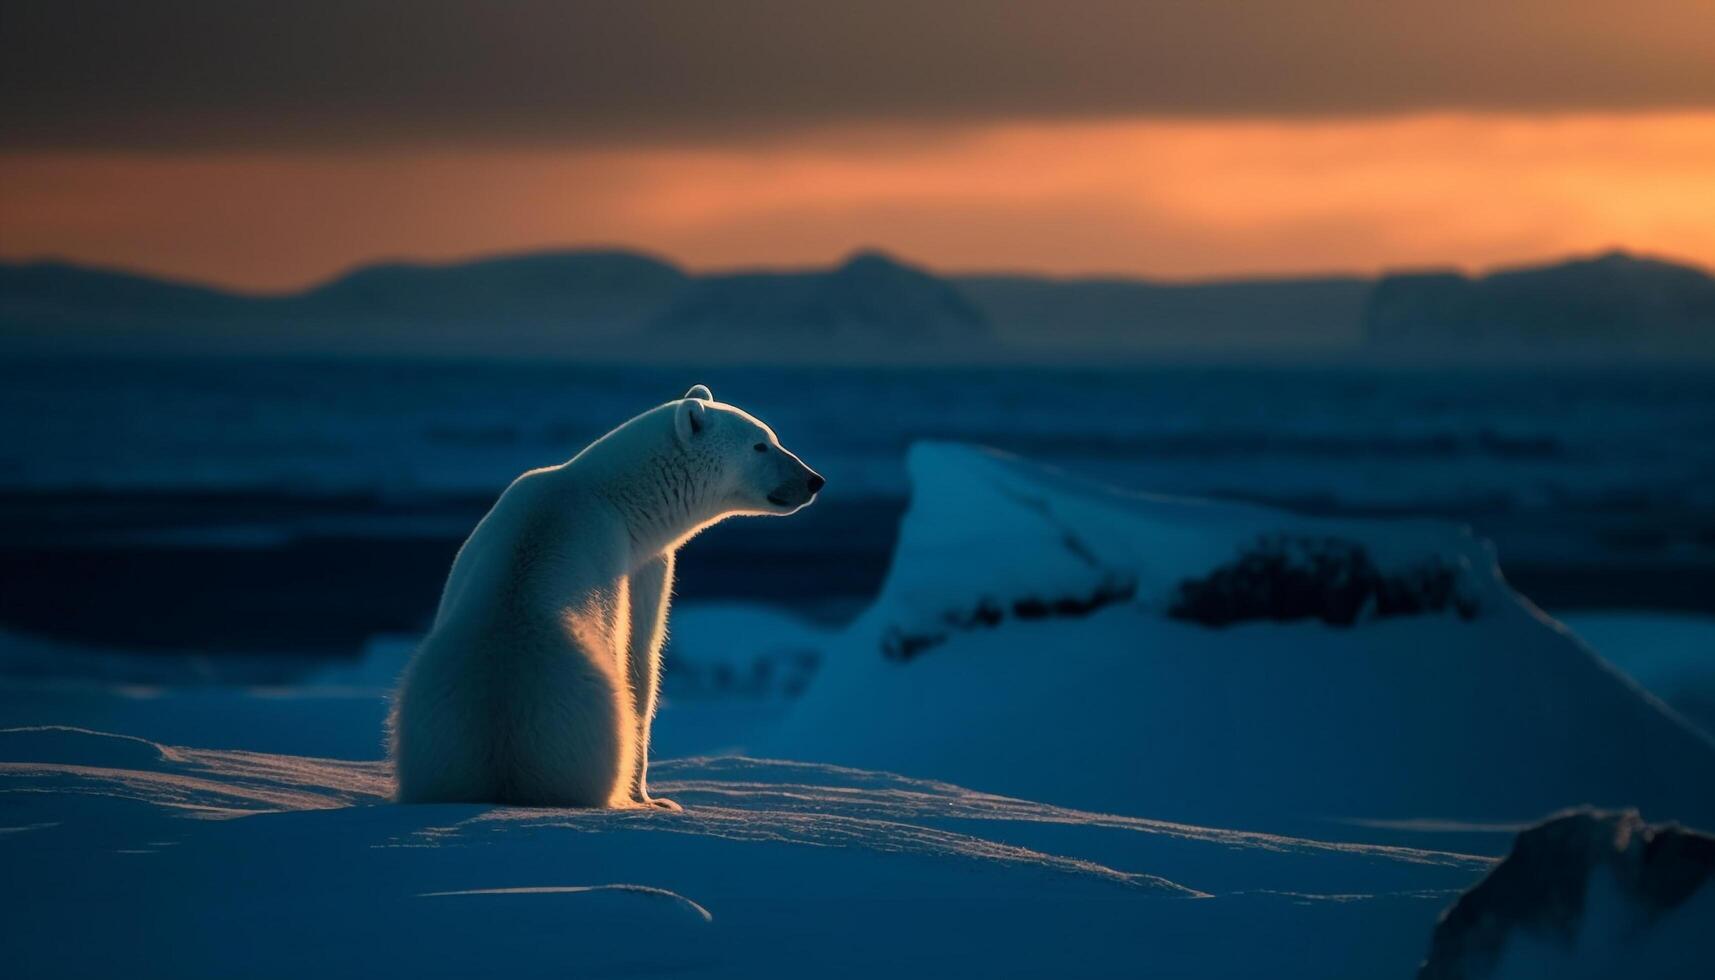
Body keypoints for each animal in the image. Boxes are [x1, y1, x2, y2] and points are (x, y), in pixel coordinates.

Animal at [389, 387, 823, 810]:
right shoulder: (632, 561)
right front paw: (652, 799)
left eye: (771, 438)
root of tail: (503, 762)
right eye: (761, 445)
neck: (604, 492)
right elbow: (640, 656)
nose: (814, 480)